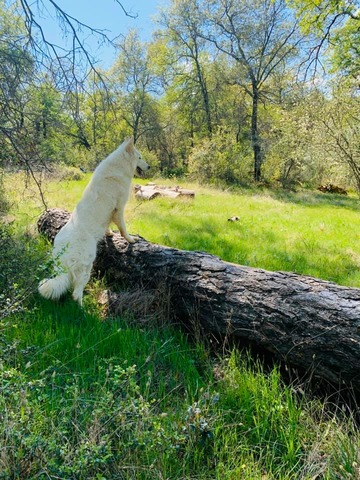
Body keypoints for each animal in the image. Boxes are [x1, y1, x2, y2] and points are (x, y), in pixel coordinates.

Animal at [39, 137, 150, 306]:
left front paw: (109, 234)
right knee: (76, 294)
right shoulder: (119, 209)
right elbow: (123, 229)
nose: (149, 166)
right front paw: (131, 240)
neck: (119, 167)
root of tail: (62, 251)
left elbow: (108, 226)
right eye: (140, 157)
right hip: (86, 267)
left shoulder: (111, 214)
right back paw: (83, 309)